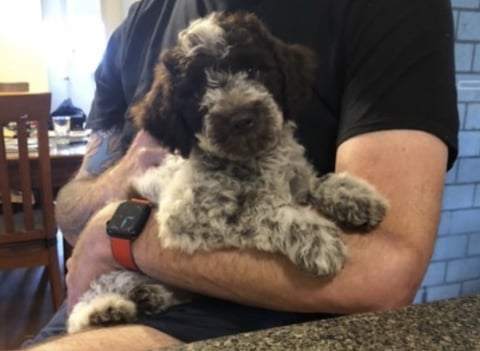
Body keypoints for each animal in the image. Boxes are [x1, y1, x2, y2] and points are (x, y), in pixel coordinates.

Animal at [67, 11, 388, 334]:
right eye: (198, 89)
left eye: (251, 69)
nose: (241, 119)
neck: (254, 159)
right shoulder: (189, 217)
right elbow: (264, 212)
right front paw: (316, 237)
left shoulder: (294, 179)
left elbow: (313, 183)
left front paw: (355, 196)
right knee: (89, 301)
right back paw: (107, 309)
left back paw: (148, 296)